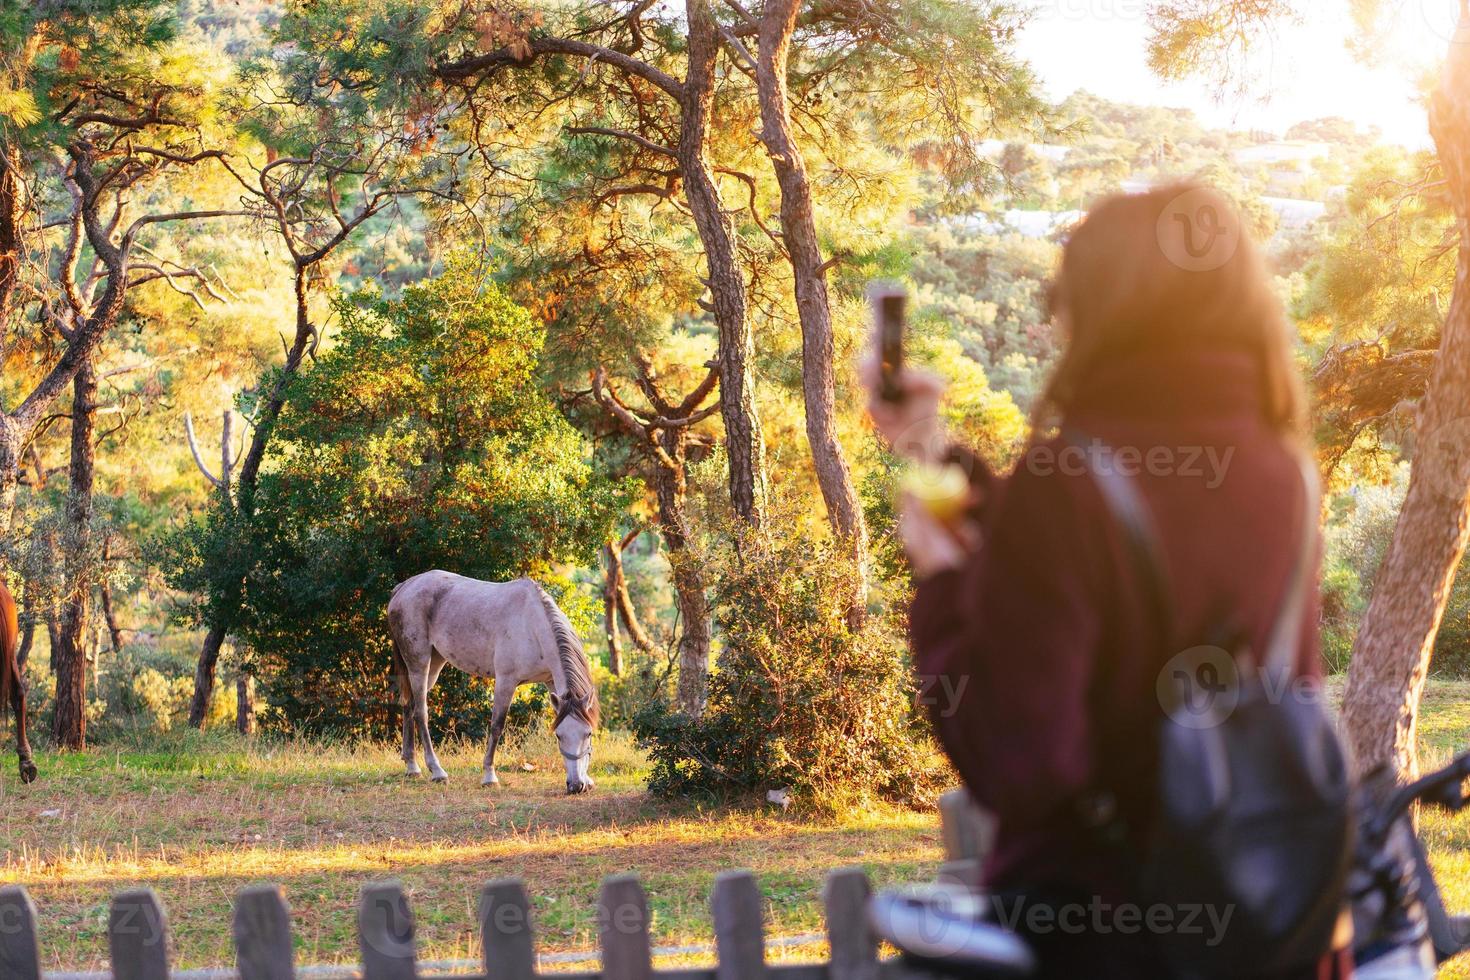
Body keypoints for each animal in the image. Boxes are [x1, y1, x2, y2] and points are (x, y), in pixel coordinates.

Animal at [391, 570, 602, 793]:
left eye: (588, 734)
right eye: (559, 736)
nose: (576, 785)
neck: (531, 625)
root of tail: (404, 587)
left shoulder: (552, 682)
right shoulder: (505, 682)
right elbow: (497, 726)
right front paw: (489, 776)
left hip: (434, 664)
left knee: (409, 705)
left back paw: (412, 766)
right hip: (419, 663)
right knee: (420, 713)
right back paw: (437, 771)